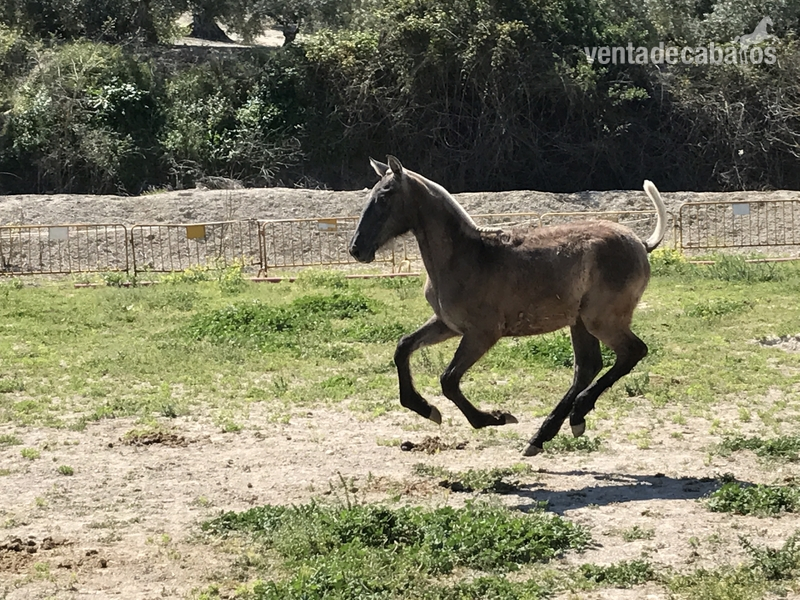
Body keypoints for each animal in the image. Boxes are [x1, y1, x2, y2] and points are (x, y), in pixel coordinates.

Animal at [349, 156, 667, 456]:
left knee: (632, 352)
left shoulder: (483, 333)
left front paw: (494, 418)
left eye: (385, 196)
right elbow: (403, 347)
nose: (356, 249)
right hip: (580, 323)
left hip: (601, 321)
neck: (467, 257)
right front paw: (425, 408)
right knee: (587, 367)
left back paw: (572, 416)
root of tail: (641, 242)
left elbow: (448, 380)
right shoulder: (447, 325)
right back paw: (549, 433)